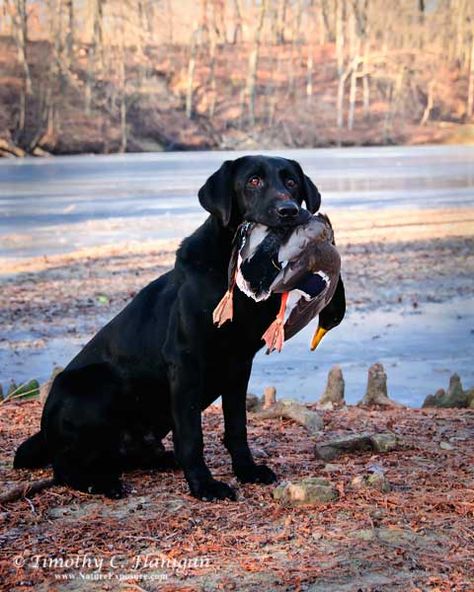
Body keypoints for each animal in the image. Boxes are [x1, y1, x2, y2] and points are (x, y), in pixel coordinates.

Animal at [14, 155, 332, 502]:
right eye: (253, 181)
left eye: (291, 182)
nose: (289, 210)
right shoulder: (186, 362)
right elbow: (192, 435)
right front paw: (203, 485)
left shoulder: (239, 364)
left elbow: (237, 426)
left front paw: (246, 470)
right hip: (92, 384)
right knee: (64, 466)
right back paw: (100, 482)